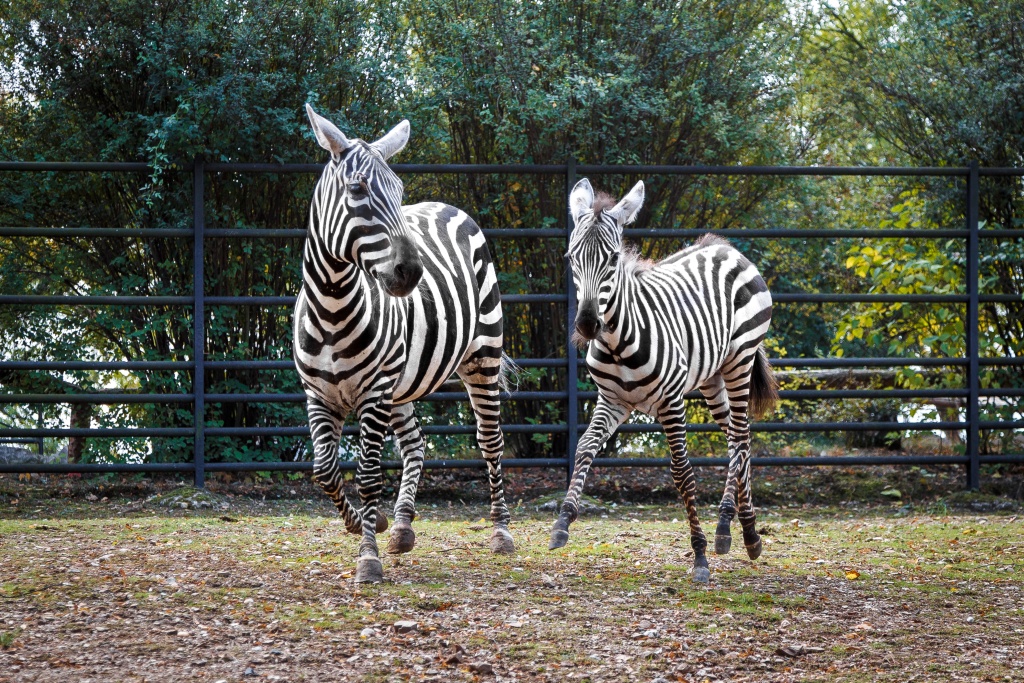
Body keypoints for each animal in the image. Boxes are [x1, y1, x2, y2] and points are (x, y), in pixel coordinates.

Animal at [296, 105, 520, 581]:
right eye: (357, 188)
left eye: (400, 191)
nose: (411, 273)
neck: (331, 308)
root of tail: (448, 206)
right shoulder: (318, 394)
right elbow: (324, 469)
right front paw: (368, 522)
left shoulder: (375, 392)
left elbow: (367, 475)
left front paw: (367, 558)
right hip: (402, 384)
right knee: (416, 445)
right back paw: (400, 527)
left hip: (482, 358)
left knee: (490, 440)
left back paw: (501, 532)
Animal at [552, 176, 774, 581]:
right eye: (572, 258)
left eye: (612, 259)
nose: (588, 324)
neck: (618, 343)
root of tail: (724, 247)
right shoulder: (611, 401)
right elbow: (584, 448)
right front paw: (563, 522)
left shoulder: (671, 403)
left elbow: (681, 471)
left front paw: (699, 555)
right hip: (711, 378)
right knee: (739, 439)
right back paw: (742, 530)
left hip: (740, 361)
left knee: (740, 441)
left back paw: (732, 529)